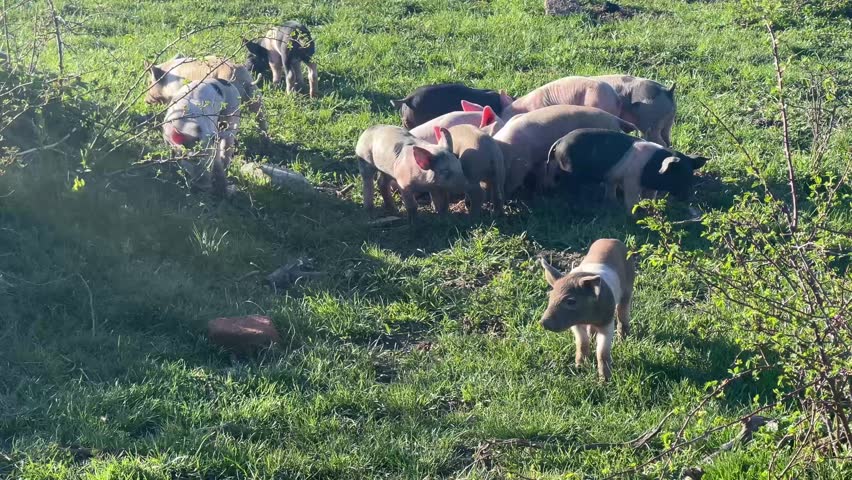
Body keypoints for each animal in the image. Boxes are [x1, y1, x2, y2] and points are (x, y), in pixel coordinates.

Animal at [540, 238, 635, 381]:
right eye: (551, 297)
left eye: (571, 301)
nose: (543, 322)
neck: (587, 316)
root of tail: (611, 239)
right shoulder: (576, 325)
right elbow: (582, 343)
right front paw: (579, 368)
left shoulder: (607, 321)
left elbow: (602, 352)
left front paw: (604, 381)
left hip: (628, 289)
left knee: (623, 313)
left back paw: (622, 340)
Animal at [548, 128, 708, 213]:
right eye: (678, 176)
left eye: (690, 177)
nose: (686, 198)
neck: (652, 167)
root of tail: (559, 141)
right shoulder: (631, 180)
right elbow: (631, 200)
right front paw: (634, 214)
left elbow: (649, 197)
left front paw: (651, 208)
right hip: (570, 170)